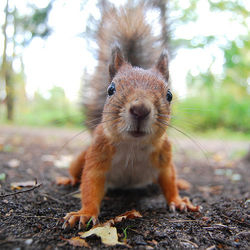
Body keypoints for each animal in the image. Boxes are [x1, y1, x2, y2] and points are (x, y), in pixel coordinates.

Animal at [57, 3, 201, 229]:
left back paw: (181, 182)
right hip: (81, 156)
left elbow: (169, 180)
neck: (133, 146)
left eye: (169, 95)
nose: (140, 110)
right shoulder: (98, 153)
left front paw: (178, 201)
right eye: (111, 89)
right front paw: (84, 213)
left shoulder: (164, 156)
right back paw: (69, 180)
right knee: (76, 171)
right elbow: (90, 183)